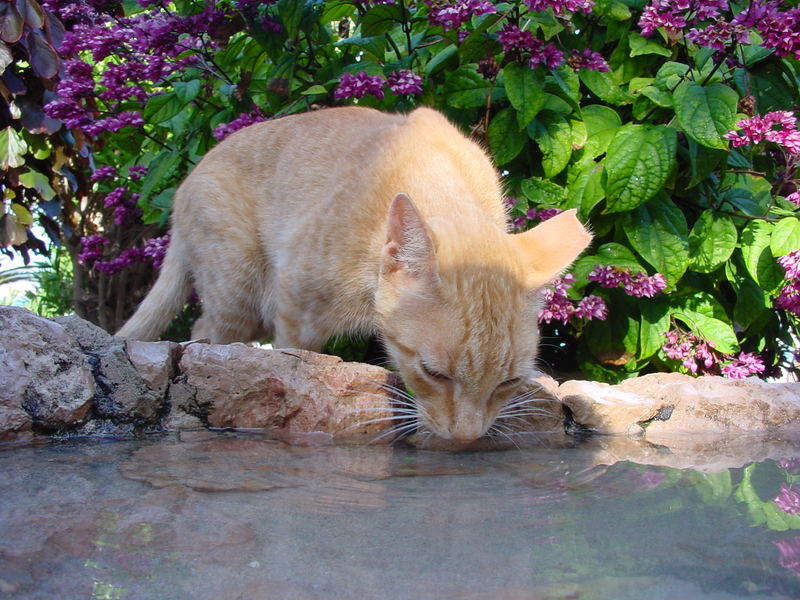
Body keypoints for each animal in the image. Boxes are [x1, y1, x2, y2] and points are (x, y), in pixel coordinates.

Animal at [120, 106, 592, 446]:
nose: (466, 438)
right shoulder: (295, 315)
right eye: (433, 373)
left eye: (509, 382)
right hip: (239, 289)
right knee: (204, 336)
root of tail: (186, 183)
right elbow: (293, 369)